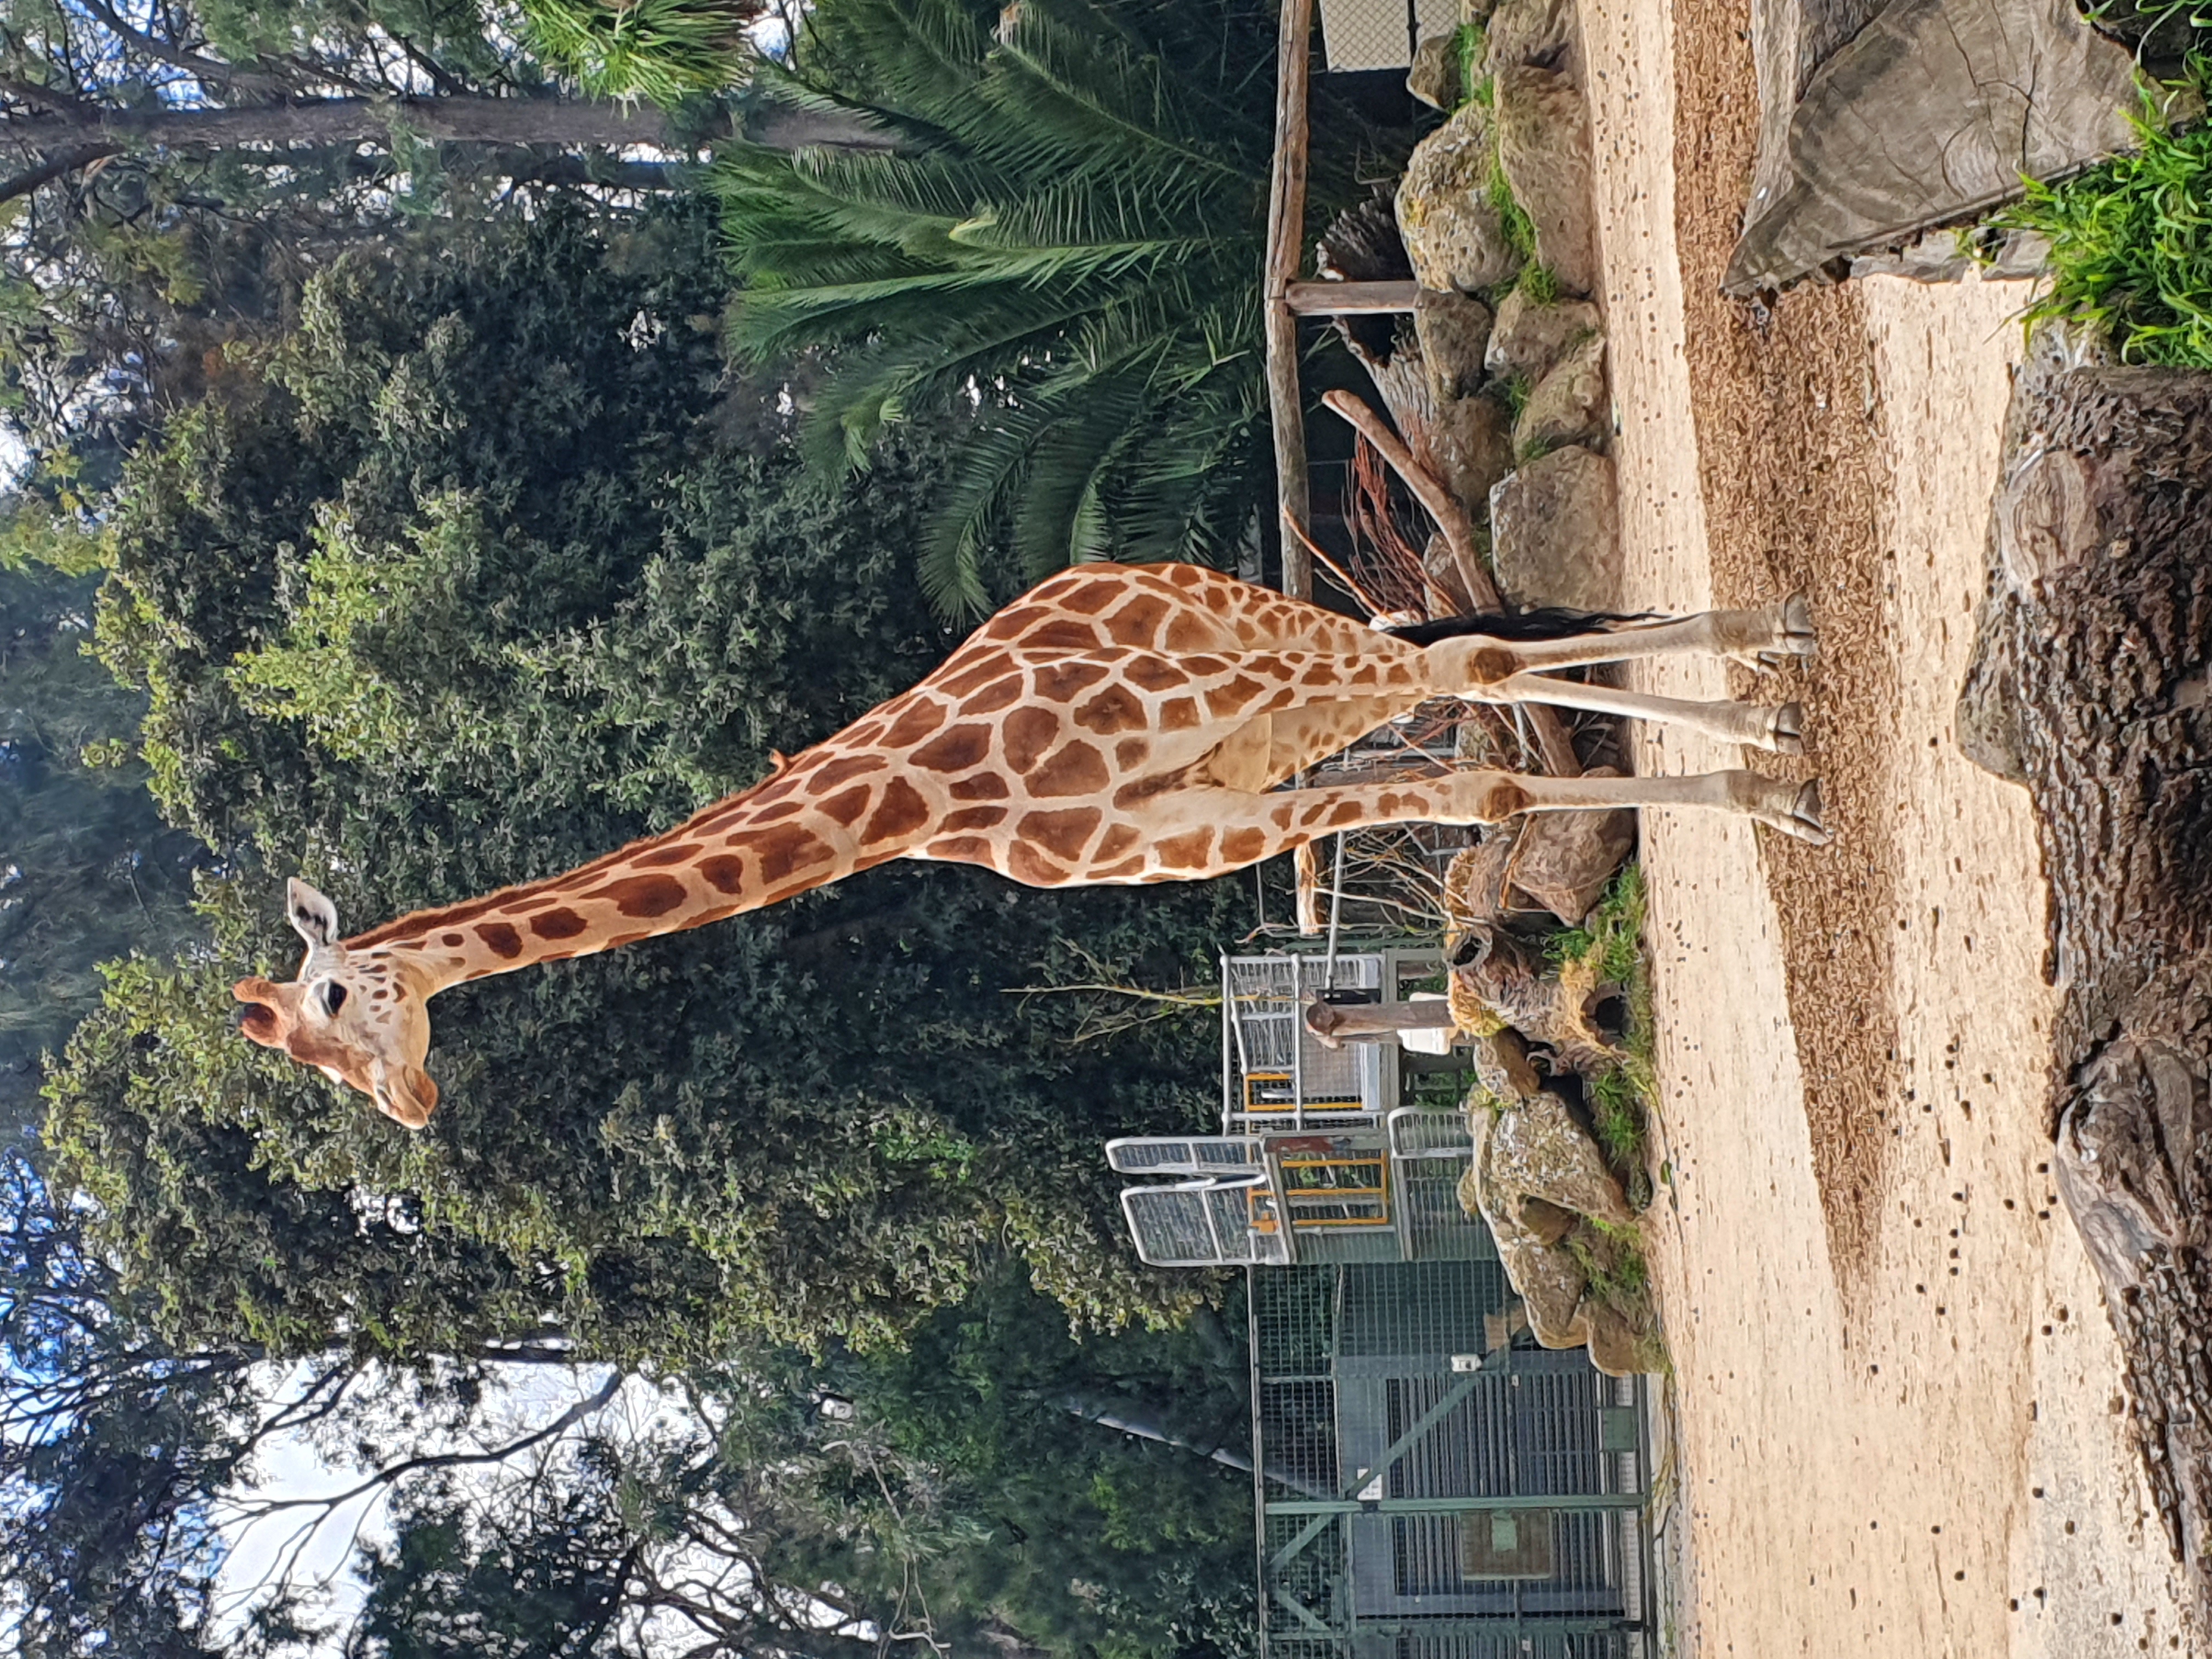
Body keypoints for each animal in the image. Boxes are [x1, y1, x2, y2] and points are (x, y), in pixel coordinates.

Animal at [234, 562, 1826, 1126]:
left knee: (1480, 657)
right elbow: (1481, 791)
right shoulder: (1202, 825)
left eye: (333, 996)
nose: (410, 1109)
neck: (931, 797)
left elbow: (1491, 780)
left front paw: (1773, 793)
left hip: (1282, 659)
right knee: (1473, 663)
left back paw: (1773, 684)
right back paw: (1762, 670)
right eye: (307, 1067)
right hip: (1297, 717)